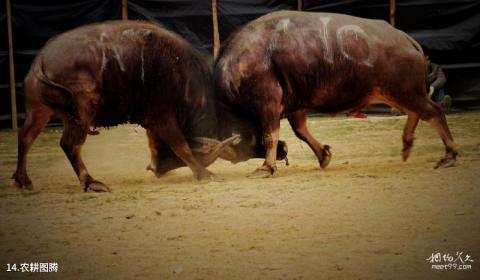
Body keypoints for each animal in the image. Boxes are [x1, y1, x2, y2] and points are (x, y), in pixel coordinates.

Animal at [216, 12, 460, 177]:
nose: (282, 152)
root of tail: (406, 39)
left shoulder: (268, 104)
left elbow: (270, 135)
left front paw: (267, 167)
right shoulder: (293, 105)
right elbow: (300, 131)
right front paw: (323, 155)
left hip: (404, 91)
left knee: (434, 112)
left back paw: (449, 155)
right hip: (396, 93)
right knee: (416, 113)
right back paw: (407, 144)